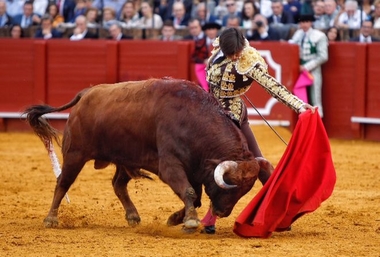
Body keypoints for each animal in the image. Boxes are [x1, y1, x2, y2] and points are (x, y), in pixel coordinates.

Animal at [24, 77, 262, 230]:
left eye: (244, 191)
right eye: (231, 185)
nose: (222, 213)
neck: (194, 119)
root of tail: (86, 93)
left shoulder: (194, 170)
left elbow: (195, 197)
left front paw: (176, 218)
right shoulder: (170, 166)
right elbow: (189, 193)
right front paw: (190, 221)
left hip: (126, 158)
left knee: (118, 184)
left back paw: (133, 216)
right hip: (75, 154)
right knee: (63, 183)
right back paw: (51, 219)